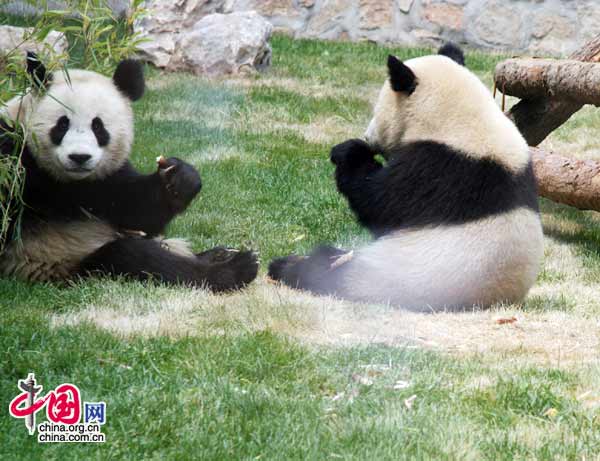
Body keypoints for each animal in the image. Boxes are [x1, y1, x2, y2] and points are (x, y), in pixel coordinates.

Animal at [0, 54, 258, 292]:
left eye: (98, 127)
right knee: (135, 258)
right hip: (61, 260)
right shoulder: (22, 164)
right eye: (62, 124)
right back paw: (234, 268)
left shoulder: (109, 174)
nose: (79, 157)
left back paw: (219, 254)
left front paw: (179, 179)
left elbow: (138, 209)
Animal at [270, 43, 548, 310]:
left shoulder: (437, 168)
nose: (368, 135)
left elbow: (379, 204)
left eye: (377, 111)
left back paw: (286, 267)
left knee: (330, 271)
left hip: (391, 276)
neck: (458, 118)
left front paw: (348, 152)